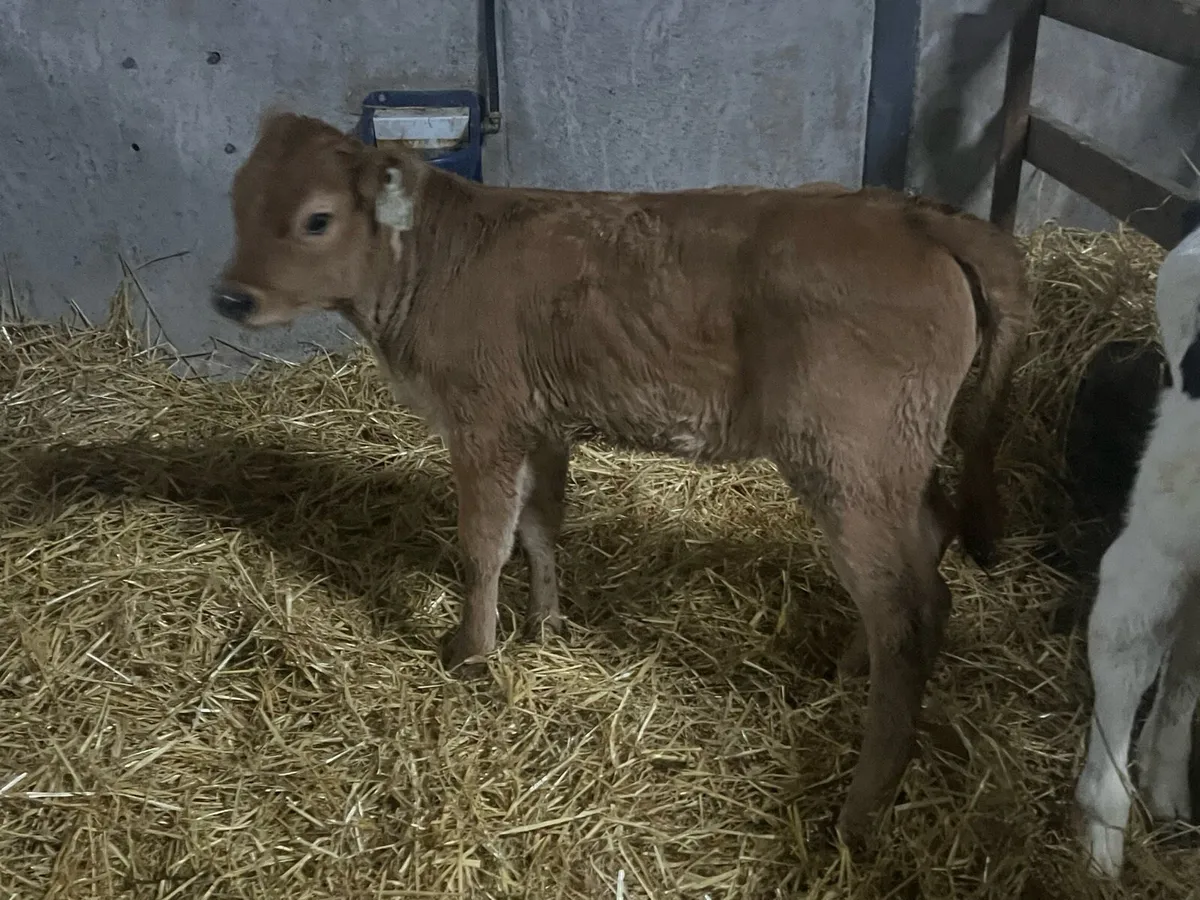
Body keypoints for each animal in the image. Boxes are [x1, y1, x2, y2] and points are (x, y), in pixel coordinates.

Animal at [210, 110, 1032, 849]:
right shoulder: (539, 424)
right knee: (927, 543)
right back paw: (851, 670)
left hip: (848, 463)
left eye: (317, 219)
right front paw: (546, 627)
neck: (435, 266)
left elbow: (482, 548)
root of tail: (912, 215)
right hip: (892, 464)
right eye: (238, 199)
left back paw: (858, 813)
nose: (231, 296)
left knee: (908, 615)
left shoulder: (484, 423)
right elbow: (540, 528)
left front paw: (470, 655)